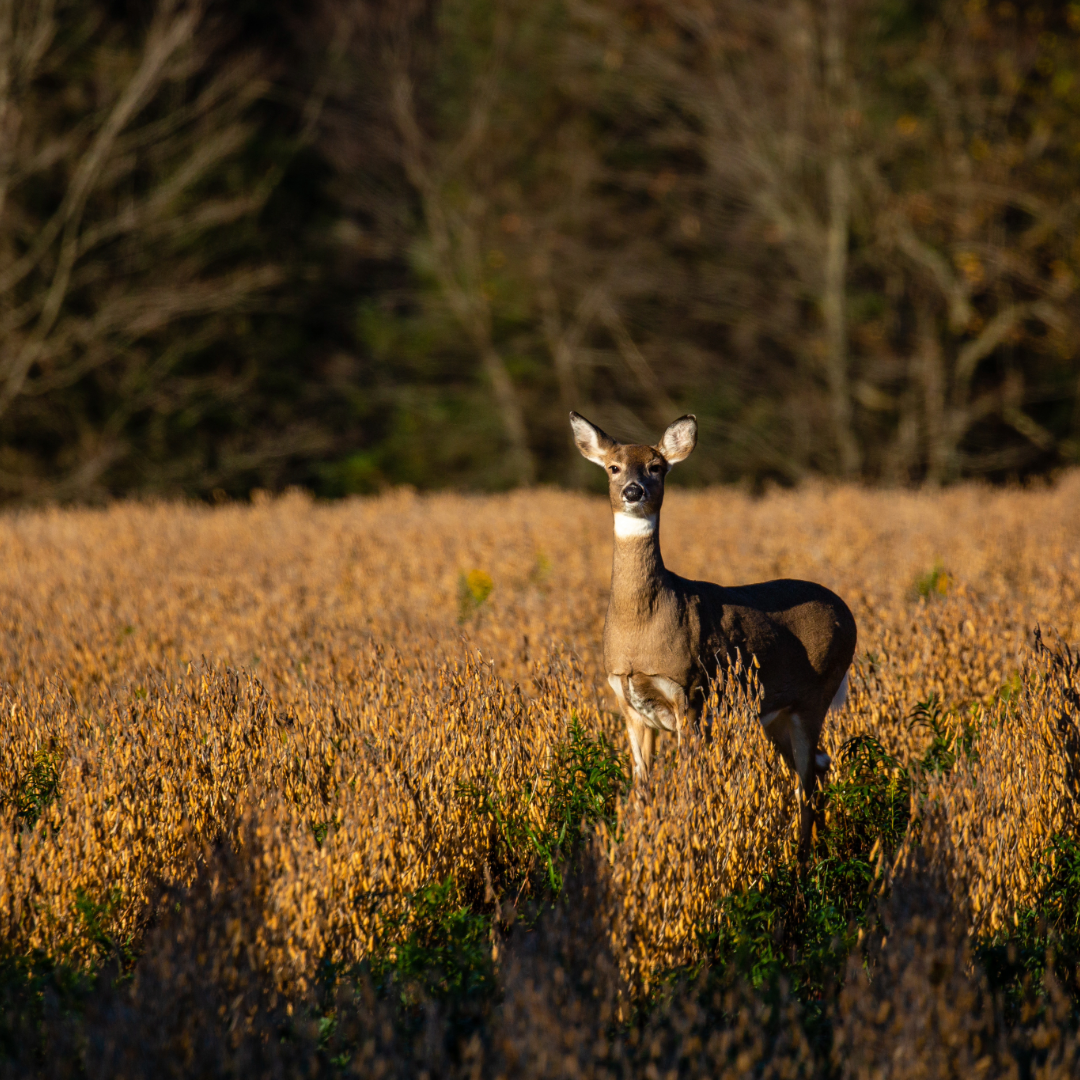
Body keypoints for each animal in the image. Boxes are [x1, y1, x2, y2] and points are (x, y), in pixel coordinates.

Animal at [570, 411, 857, 854]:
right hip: (777, 712)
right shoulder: (628, 703)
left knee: (806, 779)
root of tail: (848, 612)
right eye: (614, 467)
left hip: (817, 694)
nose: (634, 490)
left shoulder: (690, 693)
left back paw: (804, 859)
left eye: (657, 467)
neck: (640, 630)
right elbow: (641, 789)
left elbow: (690, 784)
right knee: (818, 766)